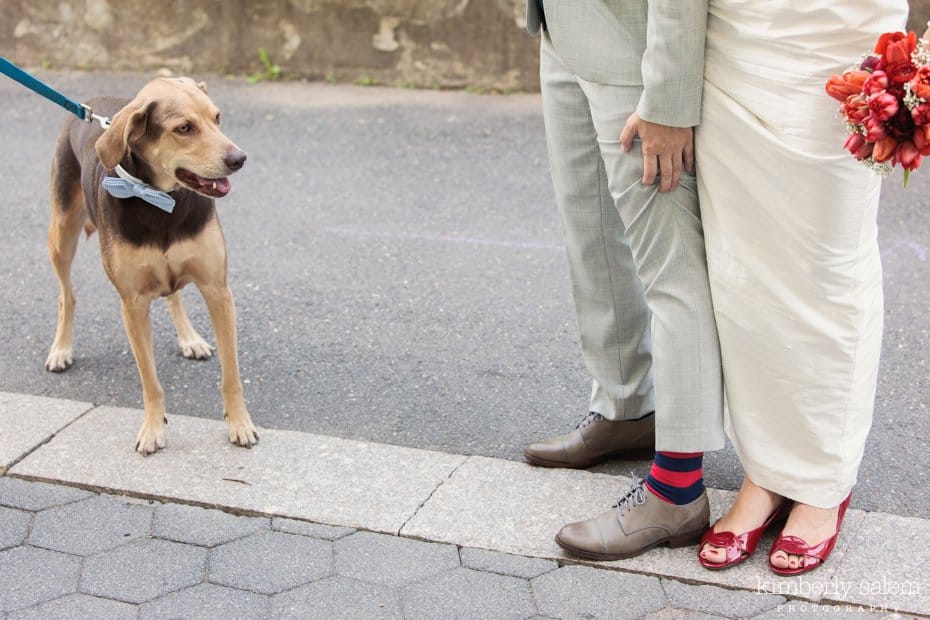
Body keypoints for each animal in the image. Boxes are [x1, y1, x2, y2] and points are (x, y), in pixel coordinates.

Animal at [44, 77, 258, 456]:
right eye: (184, 128)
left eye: (217, 118)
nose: (239, 159)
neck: (161, 202)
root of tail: (89, 102)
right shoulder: (132, 305)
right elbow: (150, 381)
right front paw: (153, 429)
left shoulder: (218, 291)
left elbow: (231, 376)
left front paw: (239, 424)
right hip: (61, 234)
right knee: (66, 295)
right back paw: (61, 350)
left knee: (174, 295)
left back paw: (190, 339)